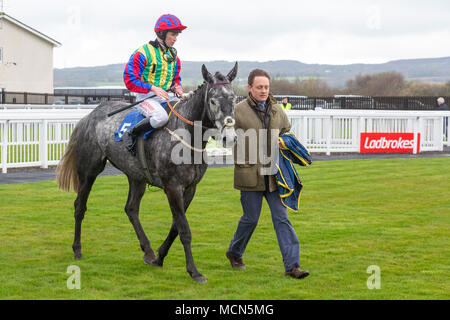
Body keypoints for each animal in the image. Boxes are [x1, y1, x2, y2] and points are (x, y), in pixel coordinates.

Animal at [55, 63, 237, 282]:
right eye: (213, 100)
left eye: (234, 98)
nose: (229, 137)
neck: (185, 134)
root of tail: (89, 116)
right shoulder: (172, 187)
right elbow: (184, 229)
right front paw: (194, 271)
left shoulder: (190, 188)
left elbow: (176, 226)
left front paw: (159, 256)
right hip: (89, 172)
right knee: (79, 207)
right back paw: (77, 249)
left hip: (136, 177)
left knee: (131, 208)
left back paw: (148, 251)